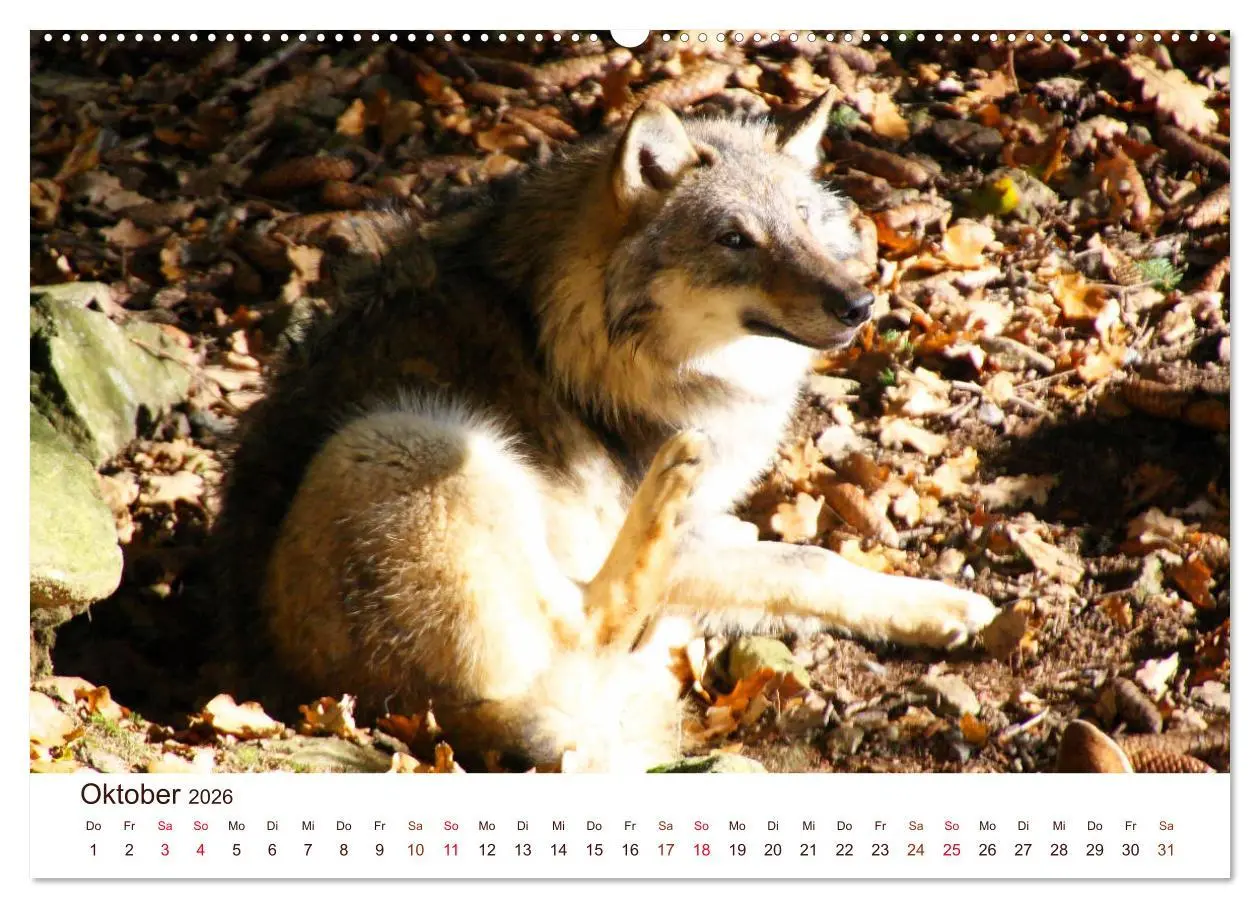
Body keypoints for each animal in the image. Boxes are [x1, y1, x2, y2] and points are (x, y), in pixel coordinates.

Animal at [212, 87, 999, 771]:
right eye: (734, 239)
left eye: (804, 221)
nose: (859, 304)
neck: (568, 328)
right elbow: (809, 563)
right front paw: (944, 604)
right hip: (407, 443)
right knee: (598, 615)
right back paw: (670, 489)